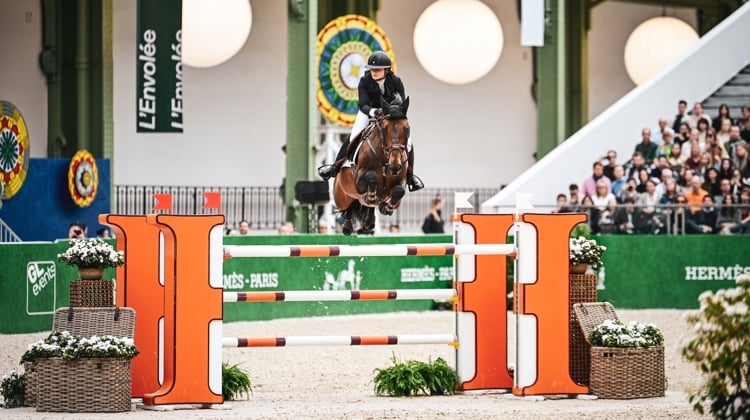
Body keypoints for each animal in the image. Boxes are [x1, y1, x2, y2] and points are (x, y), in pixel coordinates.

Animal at [336, 96, 414, 236]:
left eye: (407, 128)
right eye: (384, 128)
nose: (394, 167)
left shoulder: (401, 181)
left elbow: (399, 190)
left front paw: (386, 207)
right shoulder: (358, 181)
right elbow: (371, 176)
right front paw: (371, 197)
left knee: (365, 206)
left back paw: (369, 221)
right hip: (340, 197)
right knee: (349, 204)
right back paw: (348, 226)